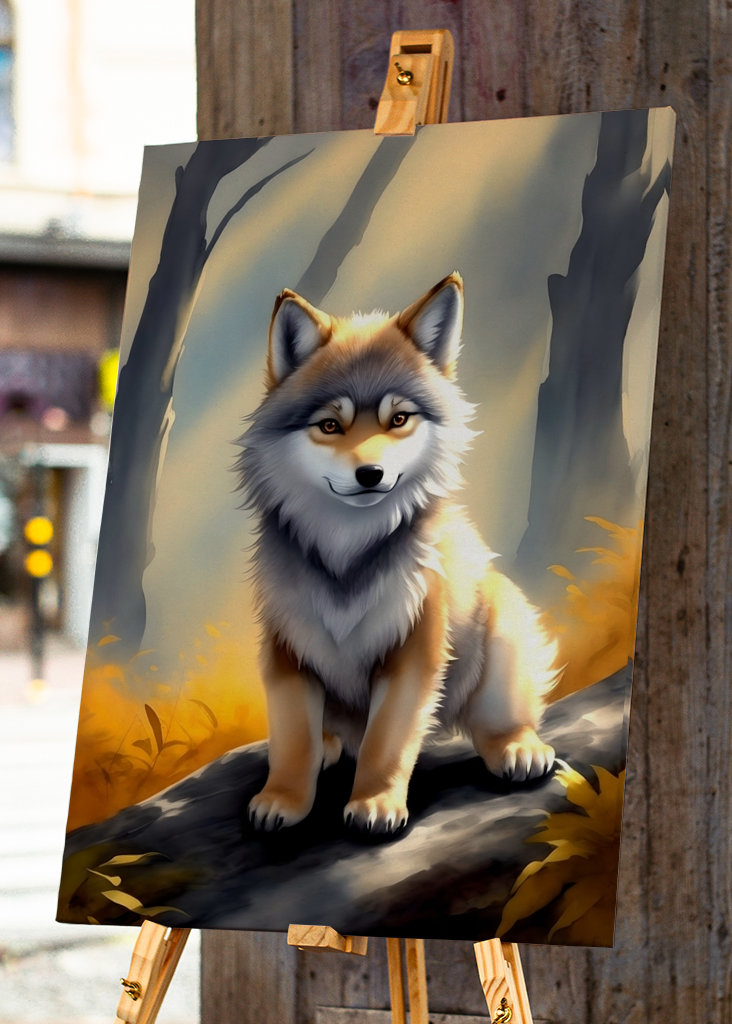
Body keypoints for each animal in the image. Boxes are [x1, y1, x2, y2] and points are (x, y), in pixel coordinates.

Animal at [236, 272, 559, 835]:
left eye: (399, 418)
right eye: (330, 426)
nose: (371, 474)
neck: (347, 555)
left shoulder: (414, 649)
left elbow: (387, 741)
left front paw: (375, 802)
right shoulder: (288, 647)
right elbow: (292, 739)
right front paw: (283, 798)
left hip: (500, 622)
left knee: (494, 721)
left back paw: (517, 747)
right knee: (328, 737)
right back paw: (329, 745)